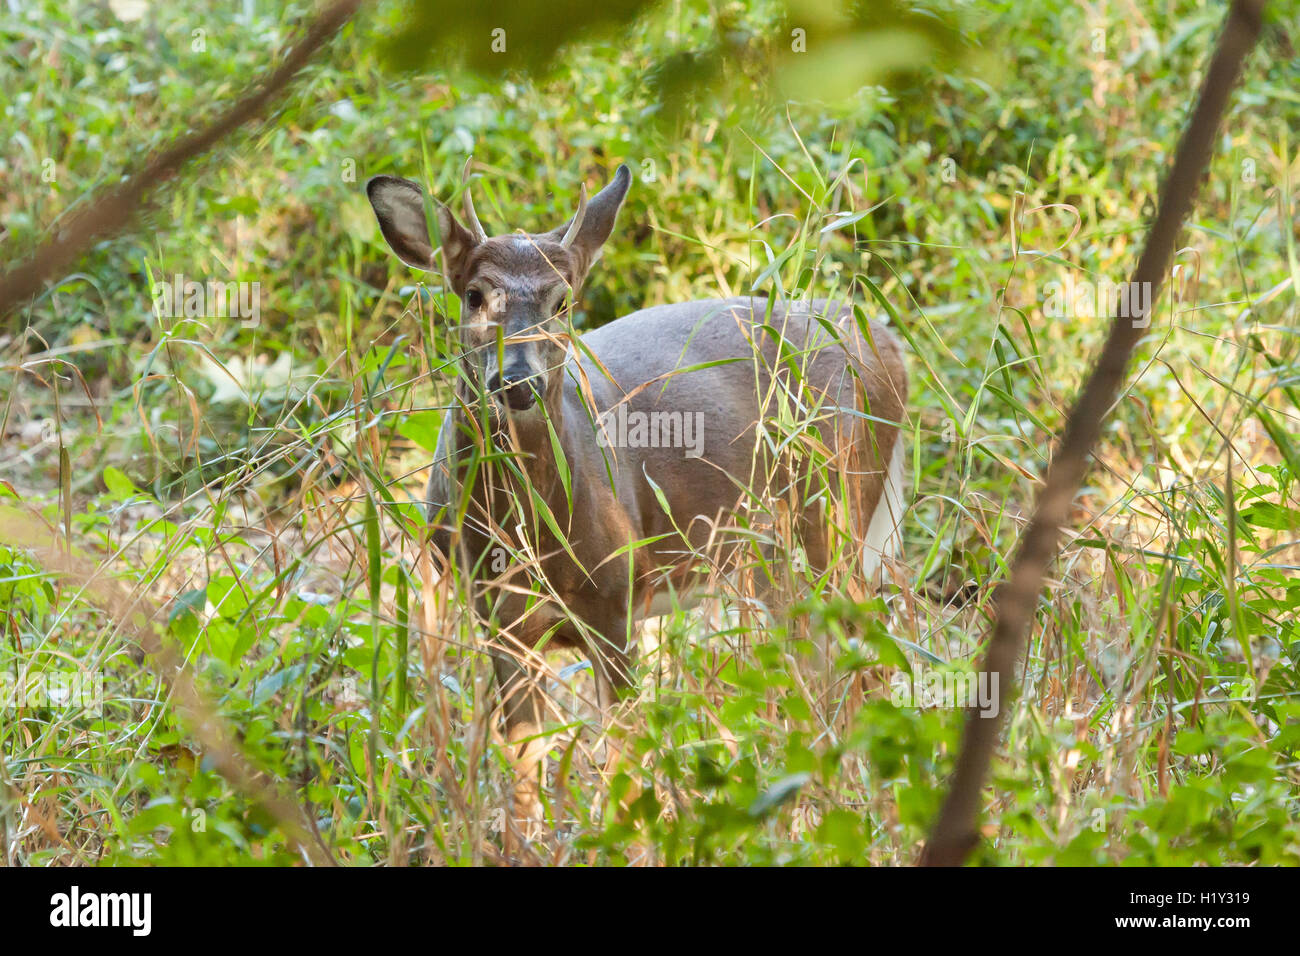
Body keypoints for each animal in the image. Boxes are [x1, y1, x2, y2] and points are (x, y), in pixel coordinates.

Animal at [366, 160, 909, 816]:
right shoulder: (497, 619)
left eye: (562, 300)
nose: (516, 380)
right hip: (769, 551)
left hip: (836, 505)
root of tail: (887, 343)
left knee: (866, 649)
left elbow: (624, 754)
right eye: (474, 294)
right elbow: (524, 763)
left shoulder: (616, 597)